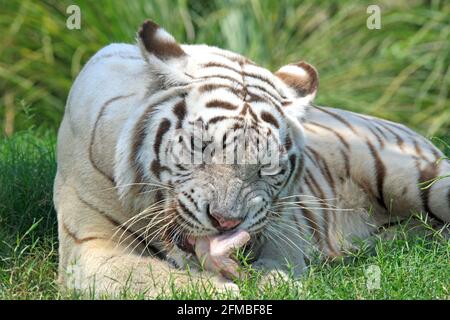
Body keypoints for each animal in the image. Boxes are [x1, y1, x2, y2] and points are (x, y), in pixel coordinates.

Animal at [53, 20, 450, 298]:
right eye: (199, 146)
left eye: (267, 167)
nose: (227, 222)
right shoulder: (90, 246)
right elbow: (146, 276)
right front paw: (216, 290)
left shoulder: (283, 224)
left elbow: (279, 257)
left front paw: (275, 283)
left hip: (420, 177)